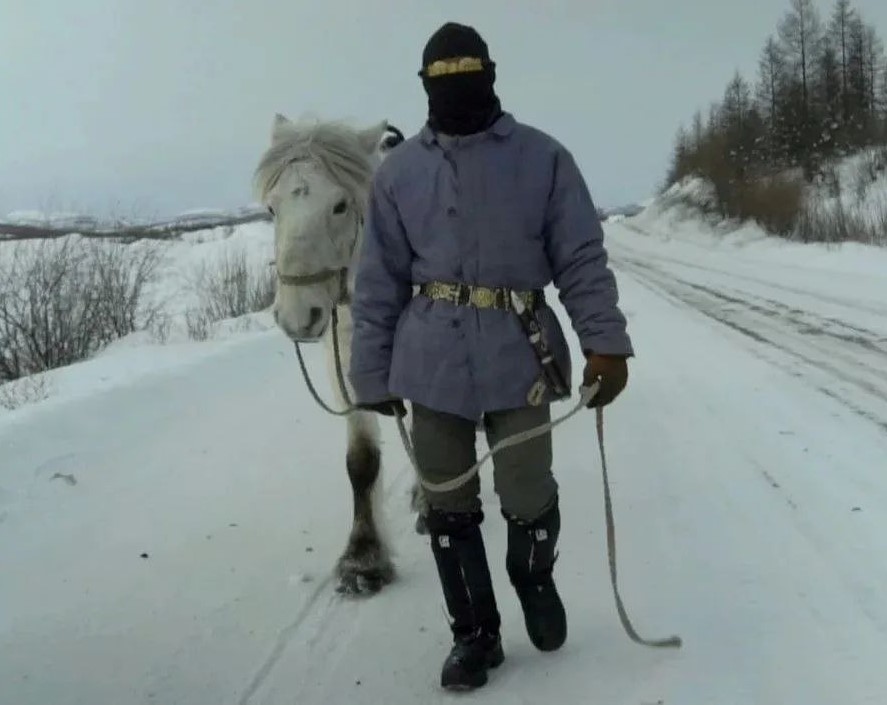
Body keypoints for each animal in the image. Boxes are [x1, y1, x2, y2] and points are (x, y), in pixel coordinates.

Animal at [251, 113, 428, 596]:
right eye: (271, 208)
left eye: (340, 206)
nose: (298, 316)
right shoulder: (346, 370)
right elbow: (361, 461)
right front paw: (363, 559)